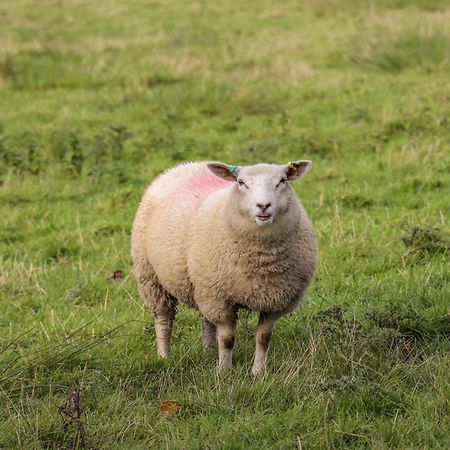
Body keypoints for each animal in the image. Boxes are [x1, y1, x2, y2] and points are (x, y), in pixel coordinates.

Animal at [132, 160, 318, 374]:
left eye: (283, 181)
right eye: (241, 182)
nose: (263, 206)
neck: (262, 262)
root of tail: (188, 164)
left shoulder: (274, 301)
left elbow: (263, 338)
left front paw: (258, 373)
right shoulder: (220, 300)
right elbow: (227, 339)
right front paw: (223, 372)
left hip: (202, 284)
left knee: (205, 319)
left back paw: (209, 350)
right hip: (151, 277)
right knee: (164, 319)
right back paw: (164, 356)